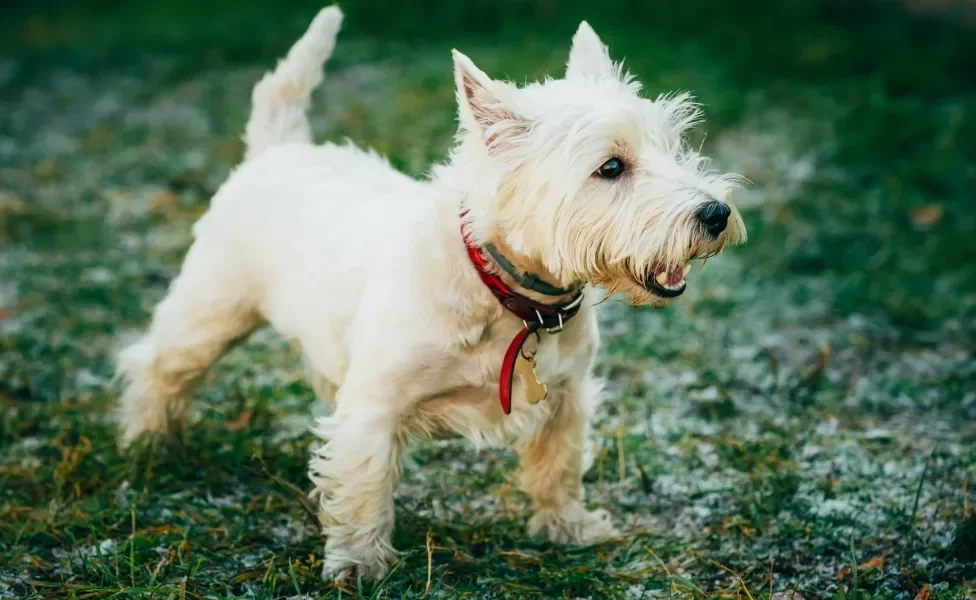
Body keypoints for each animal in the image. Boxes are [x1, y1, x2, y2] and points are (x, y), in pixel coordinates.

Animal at [120, 4, 748, 580]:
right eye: (612, 167)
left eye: (673, 146)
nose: (716, 214)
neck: (507, 295)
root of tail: (278, 149)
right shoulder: (375, 405)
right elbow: (364, 487)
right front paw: (359, 565)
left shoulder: (568, 397)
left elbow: (559, 467)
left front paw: (568, 529)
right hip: (212, 307)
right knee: (159, 365)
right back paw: (148, 444)